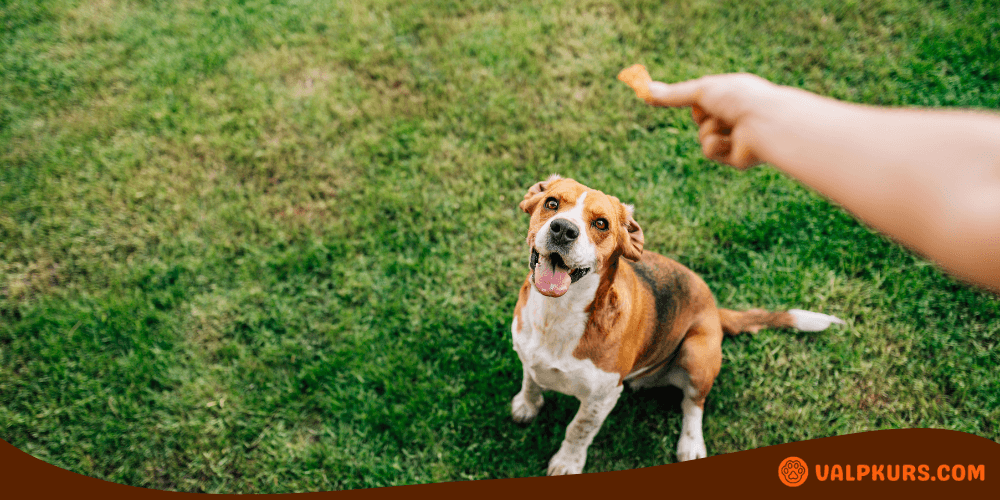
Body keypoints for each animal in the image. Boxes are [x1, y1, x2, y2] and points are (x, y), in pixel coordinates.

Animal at [508, 176, 844, 476]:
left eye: (601, 223)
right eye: (552, 203)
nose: (564, 229)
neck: (558, 314)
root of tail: (714, 310)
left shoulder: (601, 398)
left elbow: (577, 430)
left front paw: (567, 463)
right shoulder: (528, 354)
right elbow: (530, 379)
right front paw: (527, 405)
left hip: (697, 354)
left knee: (693, 404)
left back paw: (691, 445)